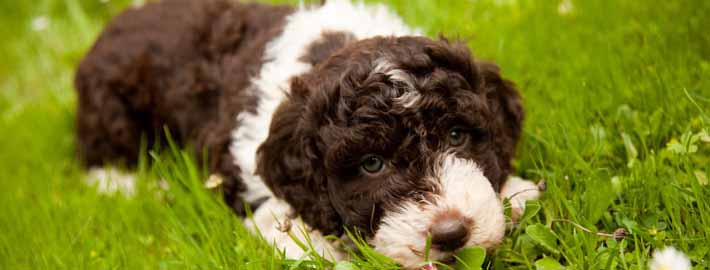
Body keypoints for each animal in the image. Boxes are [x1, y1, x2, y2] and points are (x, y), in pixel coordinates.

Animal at [75, 0, 544, 266]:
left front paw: (515, 193)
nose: (450, 234)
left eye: (456, 136)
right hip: (111, 109)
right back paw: (131, 185)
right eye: (372, 164)